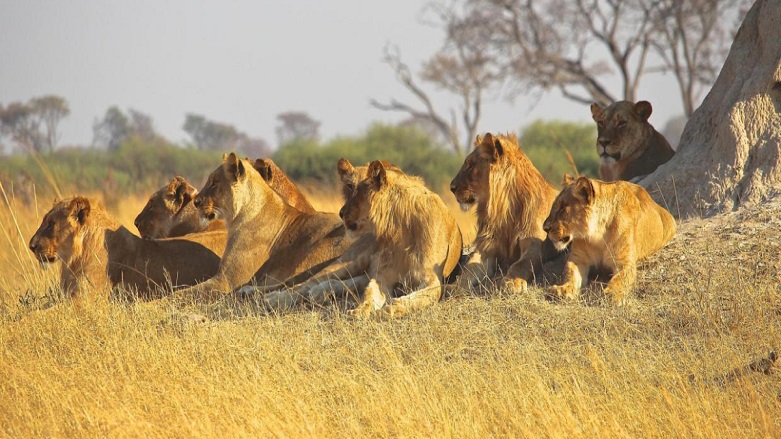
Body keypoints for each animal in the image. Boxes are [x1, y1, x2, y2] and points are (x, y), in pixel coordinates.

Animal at [172, 153, 354, 304]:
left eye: (214, 183)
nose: (196, 202)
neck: (237, 217)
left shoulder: (226, 280)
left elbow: (181, 293)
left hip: (315, 253)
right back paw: (248, 291)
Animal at [342, 160, 464, 318]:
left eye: (359, 191)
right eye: (349, 187)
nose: (341, 213)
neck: (400, 227)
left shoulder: (433, 279)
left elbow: (416, 298)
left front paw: (391, 308)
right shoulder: (384, 274)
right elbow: (370, 293)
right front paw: (360, 310)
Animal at [448, 132, 564, 294]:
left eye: (470, 165)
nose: (451, 187)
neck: (504, 210)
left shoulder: (534, 246)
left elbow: (520, 265)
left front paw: (512, 282)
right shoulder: (486, 248)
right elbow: (468, 269)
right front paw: (455, 287)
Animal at [544, 174, 676, 304]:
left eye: (562, 208)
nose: (545, 228)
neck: (598, 235)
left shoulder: (624, 262)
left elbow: (620, 279)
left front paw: (611, 294)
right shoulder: (578, 258)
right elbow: (570, 273)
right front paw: (562, 289)